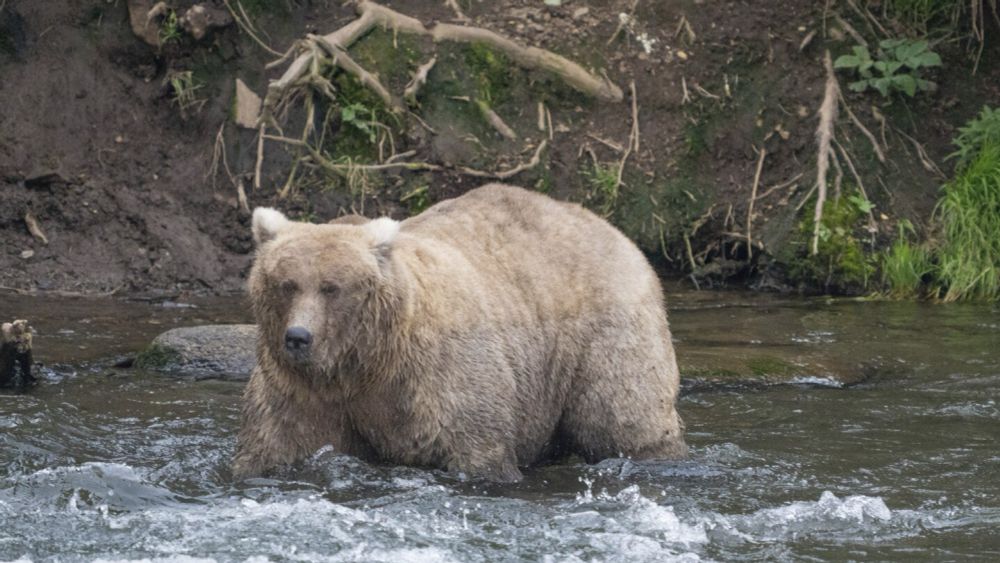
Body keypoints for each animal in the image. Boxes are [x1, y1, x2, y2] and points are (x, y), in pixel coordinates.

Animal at [232, 183, 688, 482]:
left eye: (332, 287)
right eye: (286, 284)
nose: (298, 337)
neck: (365, 362)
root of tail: (612, 229)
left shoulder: (438, 376)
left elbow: (475, 446)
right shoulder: (303, 391)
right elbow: (277, 443)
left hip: (604, 333)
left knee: (623, 416)